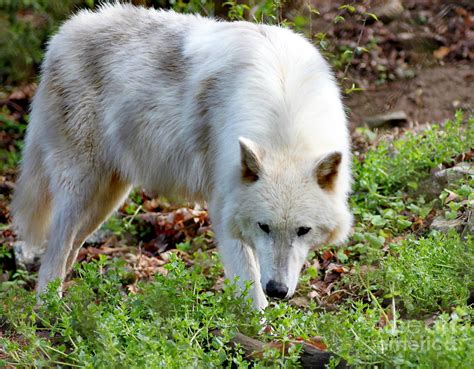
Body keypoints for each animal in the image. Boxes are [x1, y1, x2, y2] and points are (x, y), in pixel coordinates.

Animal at [11, 3, 352, 308]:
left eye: (303, 230)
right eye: (264, 227)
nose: (277, 290)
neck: (285, 126)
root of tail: (62, 34)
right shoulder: (223, 207)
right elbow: (250, 287)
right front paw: (258, 333)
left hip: (108, 198)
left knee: (70, 247)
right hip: (80, 189)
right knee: (53, 251)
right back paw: (49, 311)